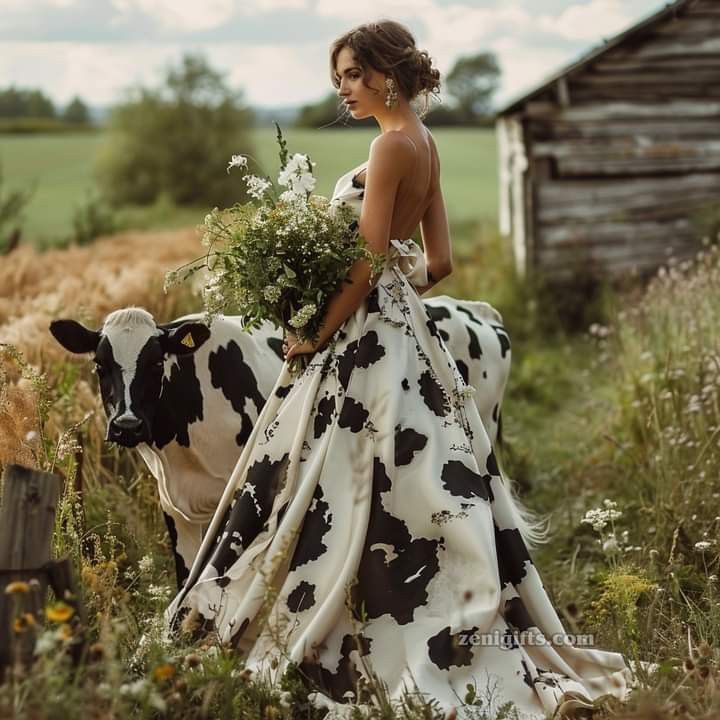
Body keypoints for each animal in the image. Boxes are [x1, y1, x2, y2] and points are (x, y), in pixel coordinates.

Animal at [50, 294, 512, 592]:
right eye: (100, 365)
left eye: (153, 362)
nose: (127, 424)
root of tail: (473, 308)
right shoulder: (174, 506)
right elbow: (187, 573)